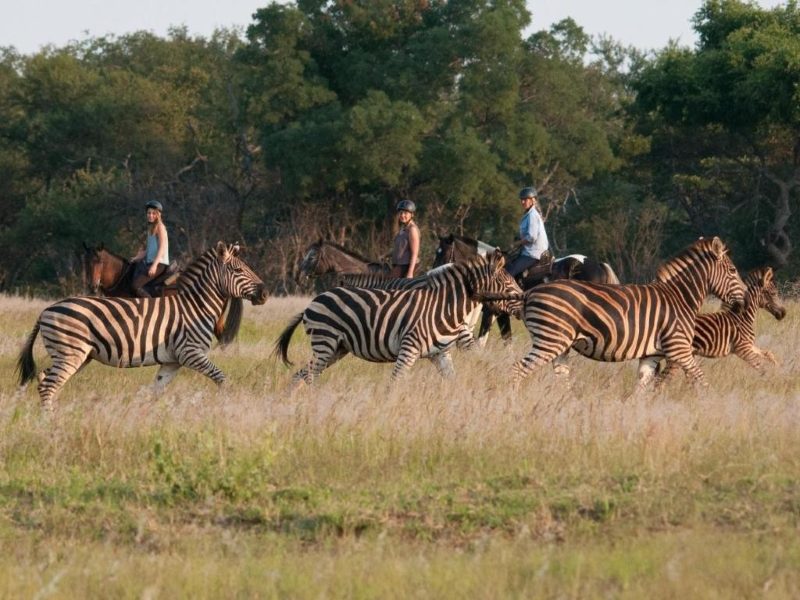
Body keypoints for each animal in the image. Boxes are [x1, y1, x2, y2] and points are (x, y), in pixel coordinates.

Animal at [16, 242, 268, 410]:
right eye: (238, 270)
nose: (265, 294)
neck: (196, 307)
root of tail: (46, 310)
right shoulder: (190, 353)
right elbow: (221, 378)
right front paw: (227, 405)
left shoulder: (172, 361)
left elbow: (153, 392)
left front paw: (146, 418)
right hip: (70, 353)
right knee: (48, 385)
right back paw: (50, 423)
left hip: (76, 355)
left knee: (45, 379)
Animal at [274, 251, 522, 388]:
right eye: (507, 283)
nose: (524, 298)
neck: (445, 308)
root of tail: (313, 301)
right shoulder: (408, 349)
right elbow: (394, 384)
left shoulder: (440, 354)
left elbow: (454, 382)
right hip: (325, 343)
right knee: (309, 376)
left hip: (336, 348)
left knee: (302, 374)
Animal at [488, 236, 746, 393]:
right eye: (733, 270)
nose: (744, 298)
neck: (679, 297)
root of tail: (530, 292)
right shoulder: (679, 348)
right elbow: (701, 380)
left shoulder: (652, 354)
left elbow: (641, 389)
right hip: (550, 341)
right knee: (518, 370)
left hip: (557, 344)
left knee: (560, 378)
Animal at [646, 266, 786, 384]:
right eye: (773, 294)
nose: (783, 313)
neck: (742, 317)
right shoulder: (742, 348)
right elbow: (761, 368)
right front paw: (773, 380)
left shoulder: (748, 345)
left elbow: (768, 353)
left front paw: (779, 369)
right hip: (675, 358)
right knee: (661, 381)